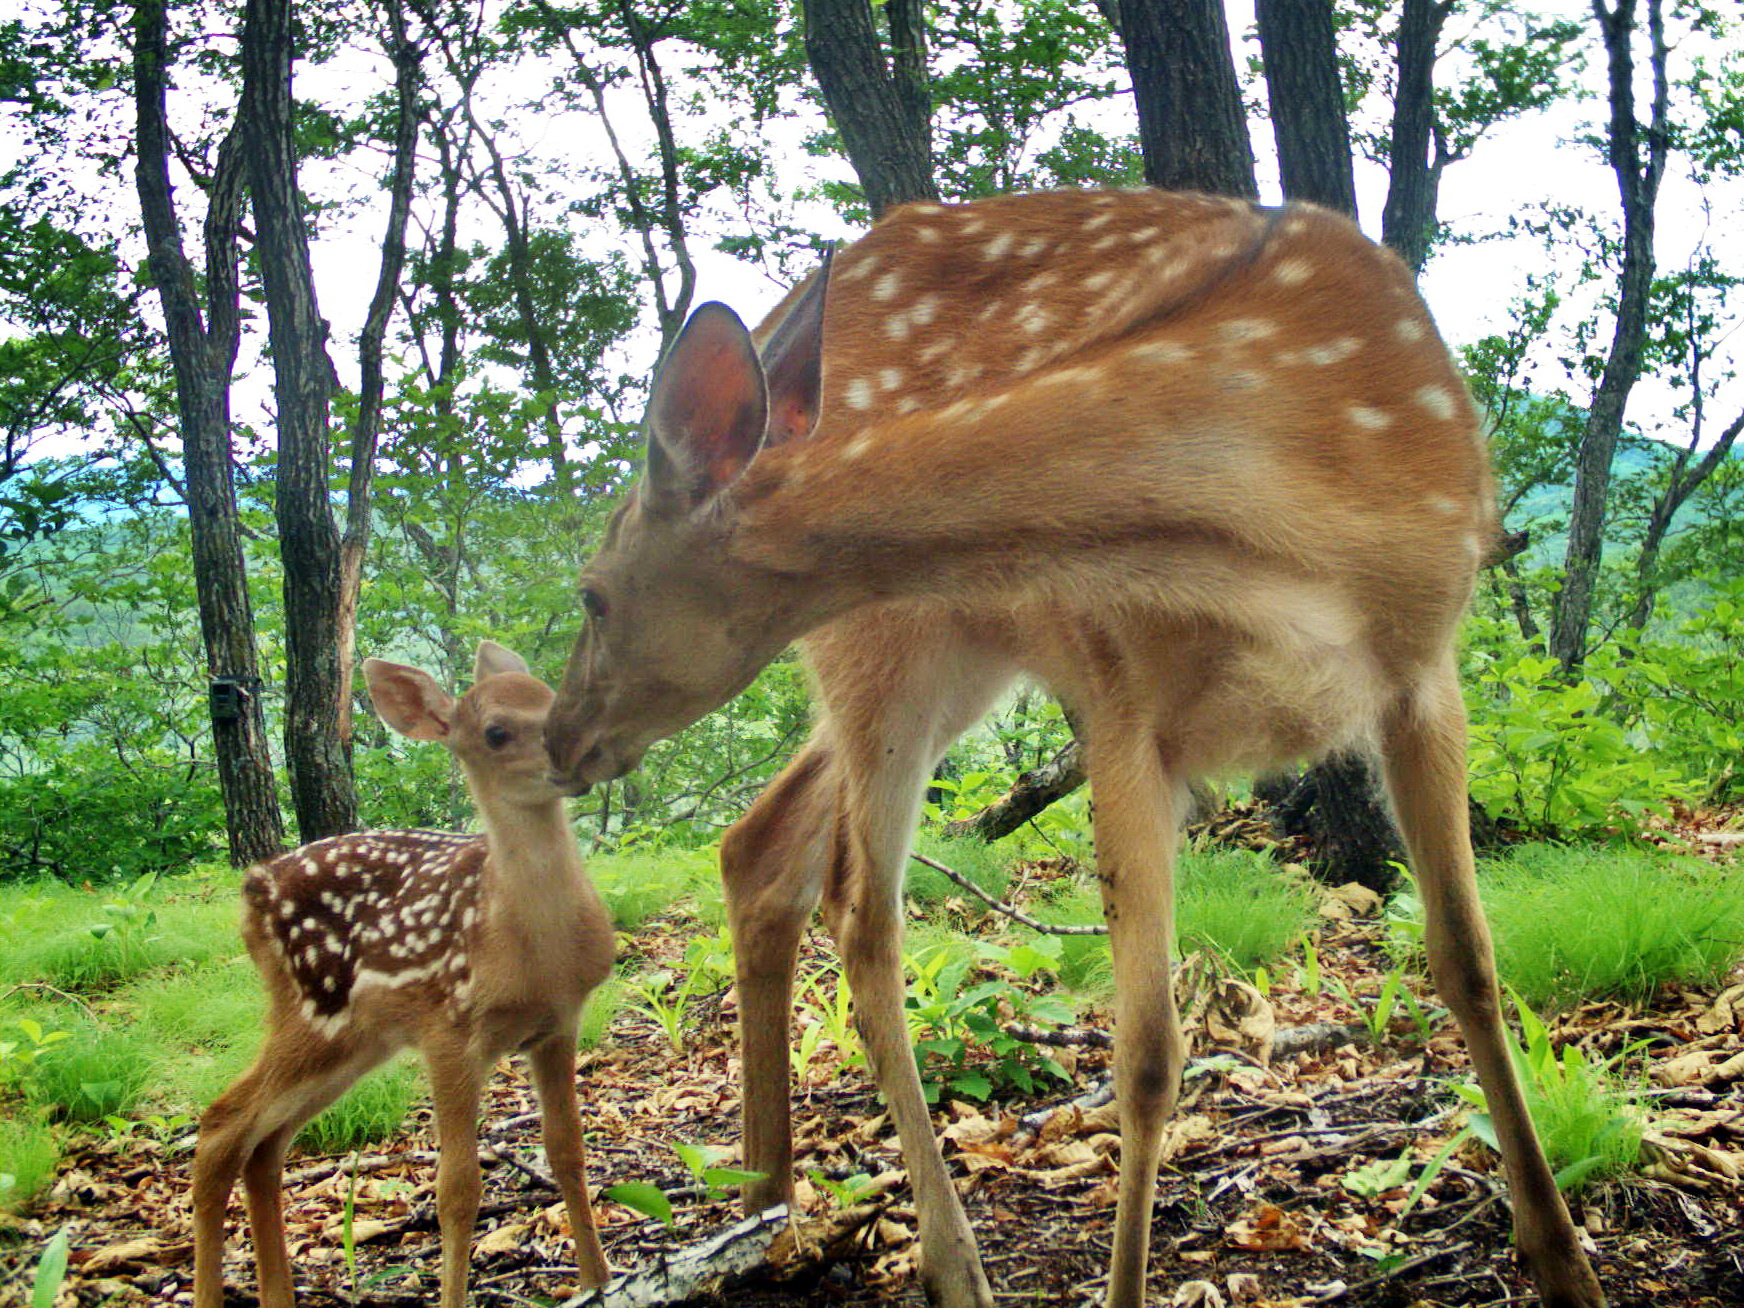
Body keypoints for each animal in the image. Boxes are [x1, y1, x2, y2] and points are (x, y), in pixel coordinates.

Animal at [189, 641, 613, 1308]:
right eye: (495, 732)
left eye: (550, 695)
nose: (584, 753)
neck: (527, 945)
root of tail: (251, 891)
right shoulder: (449, 1030)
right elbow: (457, 1190)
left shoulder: (556, 1025)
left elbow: (567, 1152)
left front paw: (599, 1281)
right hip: (313, 1013)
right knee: (221, 1126)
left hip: (356, 1042)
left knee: (265, 1145)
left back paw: (278, 1294)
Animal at [547, 186, 1604, 1308]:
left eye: (592, 594)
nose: (555, 740)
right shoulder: (1119, 698)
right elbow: (1146, 1056)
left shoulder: (1424, 669)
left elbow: (1471, 963)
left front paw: (1561, 1256)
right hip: (889, 648)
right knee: (860, 909)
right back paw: (940, 1259)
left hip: (940, 657)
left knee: (764, 844)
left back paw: (765, 1203)